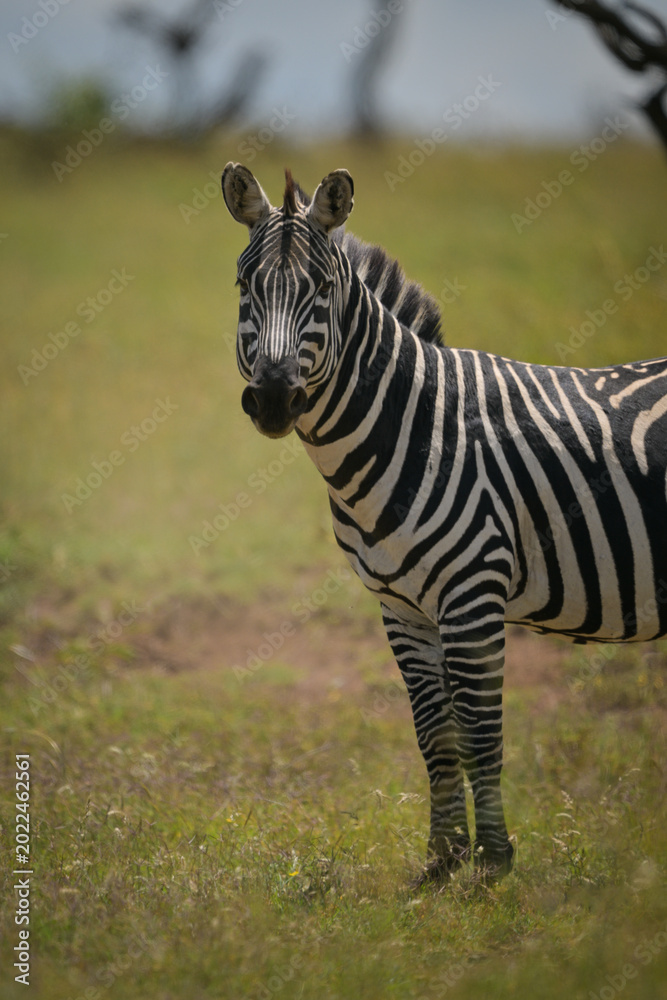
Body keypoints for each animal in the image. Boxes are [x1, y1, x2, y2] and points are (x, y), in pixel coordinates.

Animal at [221, 162, 667, 881]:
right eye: (244, 286)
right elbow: (436, 734)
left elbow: (481, 734)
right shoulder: (400, 607)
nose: (272, 399)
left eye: (322, 290)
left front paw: (492, 865)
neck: (415, 426)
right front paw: (442, 860)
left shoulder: (472, 595)